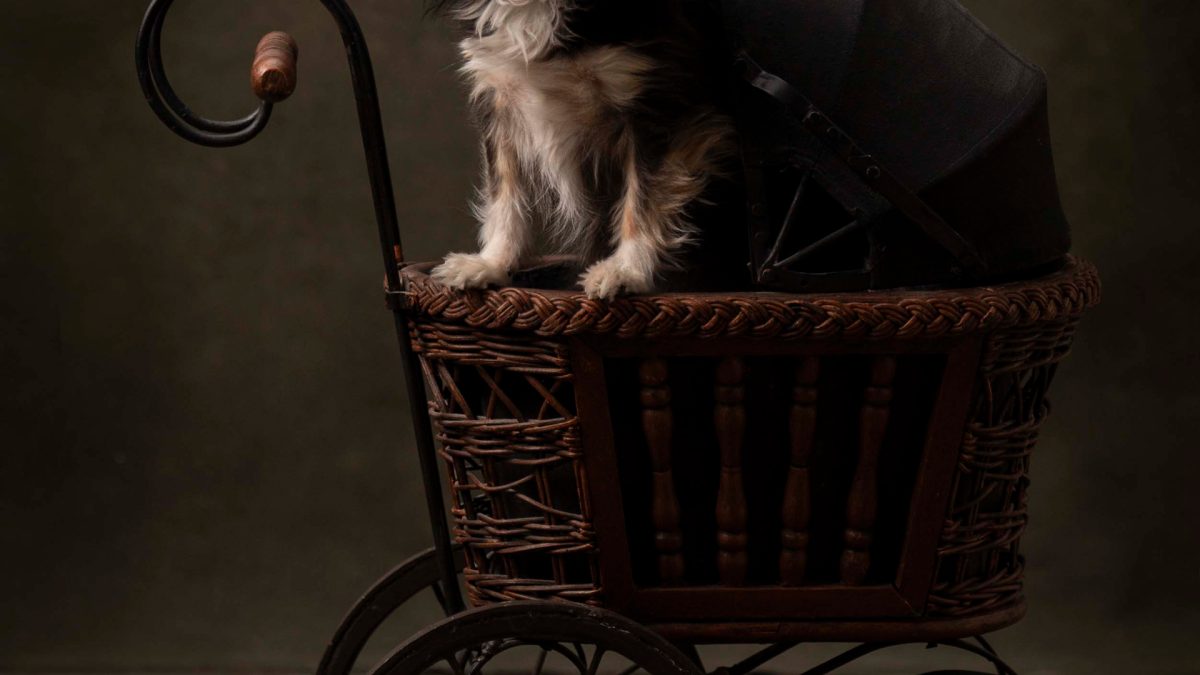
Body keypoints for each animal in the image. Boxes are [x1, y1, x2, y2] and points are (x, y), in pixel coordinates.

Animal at [427, 0, 734, 299]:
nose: (493, 263)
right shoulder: (499, 99)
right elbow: (504, 192)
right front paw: (492, 263)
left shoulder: (655, 103)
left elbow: (642, 200)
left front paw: (626, 270)